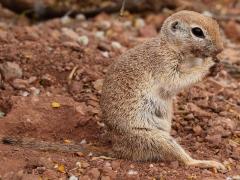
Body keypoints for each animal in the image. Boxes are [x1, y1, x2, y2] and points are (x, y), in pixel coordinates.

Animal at [100, 10, 225, 170]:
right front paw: (209, 65)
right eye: (197, 32)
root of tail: (117, 149)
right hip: (153, 138)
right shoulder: (164, 64)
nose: (220, 49)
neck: (170, 46)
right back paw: (208, 163)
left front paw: (218, 66)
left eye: (215, 23)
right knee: (185, 161)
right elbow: (176, 80)